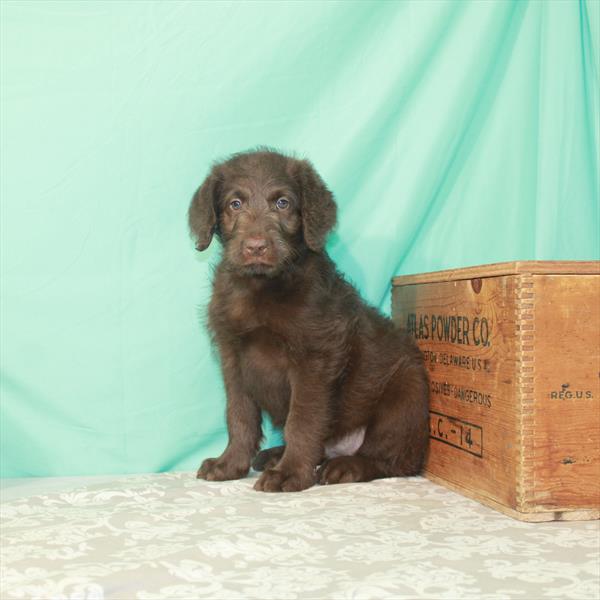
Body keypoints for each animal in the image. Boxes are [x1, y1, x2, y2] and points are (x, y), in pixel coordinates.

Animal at [190, 149, 428, 492]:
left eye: (282, 203)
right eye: (235, 204)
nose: (256, 247)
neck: (262, 286)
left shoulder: (314, 357)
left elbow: (302, 419)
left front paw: (291, 473)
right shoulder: (232, 355)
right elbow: (239, 414)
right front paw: (230, 464)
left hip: (406, 395)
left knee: (394, 459)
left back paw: (345, 466)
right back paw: (274, 455)